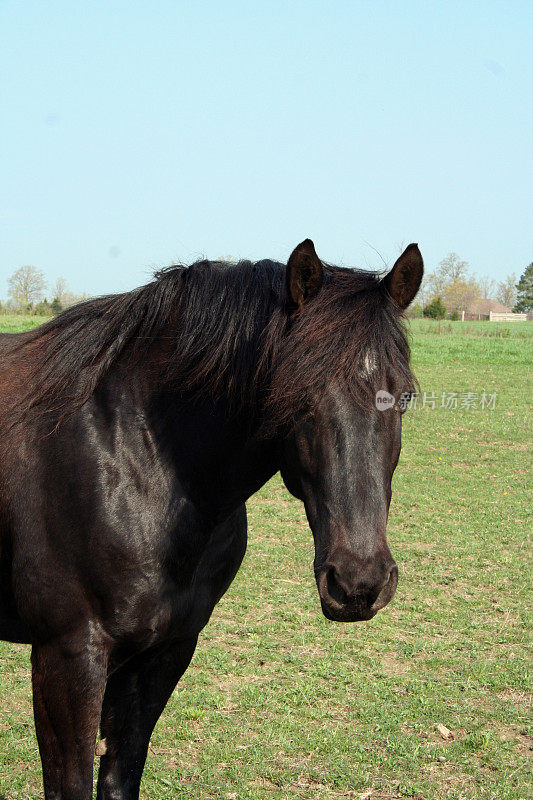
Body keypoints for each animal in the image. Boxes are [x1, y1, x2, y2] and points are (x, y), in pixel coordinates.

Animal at [1, 241, 424, 796]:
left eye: (404, 397)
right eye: (297, 398)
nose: (359, 582)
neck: (130, 452)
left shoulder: (165, 651)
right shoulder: (67, 657)